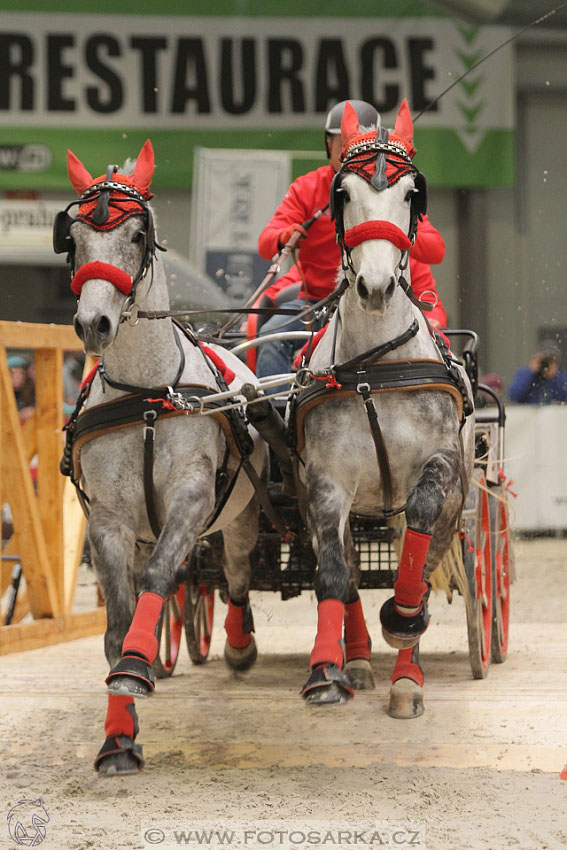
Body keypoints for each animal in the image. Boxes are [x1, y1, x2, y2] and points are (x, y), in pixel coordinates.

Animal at [63, 142, 268, 772]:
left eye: (136, 235)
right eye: (74, 237)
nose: (94, 323)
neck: (147, 396)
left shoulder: (191, 498)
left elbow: (160, 576)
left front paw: (134, 668)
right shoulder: (107, 520)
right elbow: (116, 621)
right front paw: (119, 737)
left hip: (242, 515)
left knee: (236, 574)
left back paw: (239, 645)